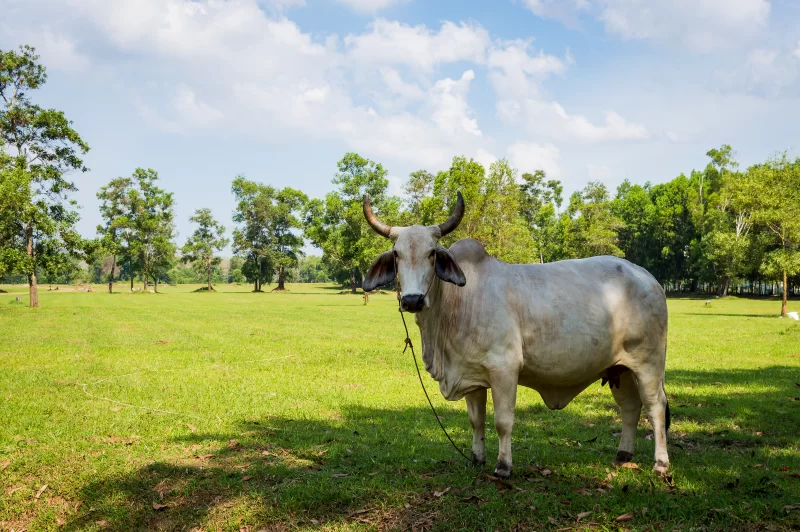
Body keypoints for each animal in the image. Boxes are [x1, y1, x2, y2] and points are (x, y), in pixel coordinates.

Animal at [362, 192, 670, 478]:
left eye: (432, 253)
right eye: (397, 254)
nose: (412, 300)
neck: (457, 303)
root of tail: (648, 277)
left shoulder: (504, 368)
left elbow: (503, 421)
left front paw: (503, 466)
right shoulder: (472, 376)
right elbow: (476, 421)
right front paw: (476, 459)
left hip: (649, 364)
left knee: (655, 406)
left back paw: (661, 464)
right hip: (620, 369)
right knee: (630, 407)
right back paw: (622, 455)